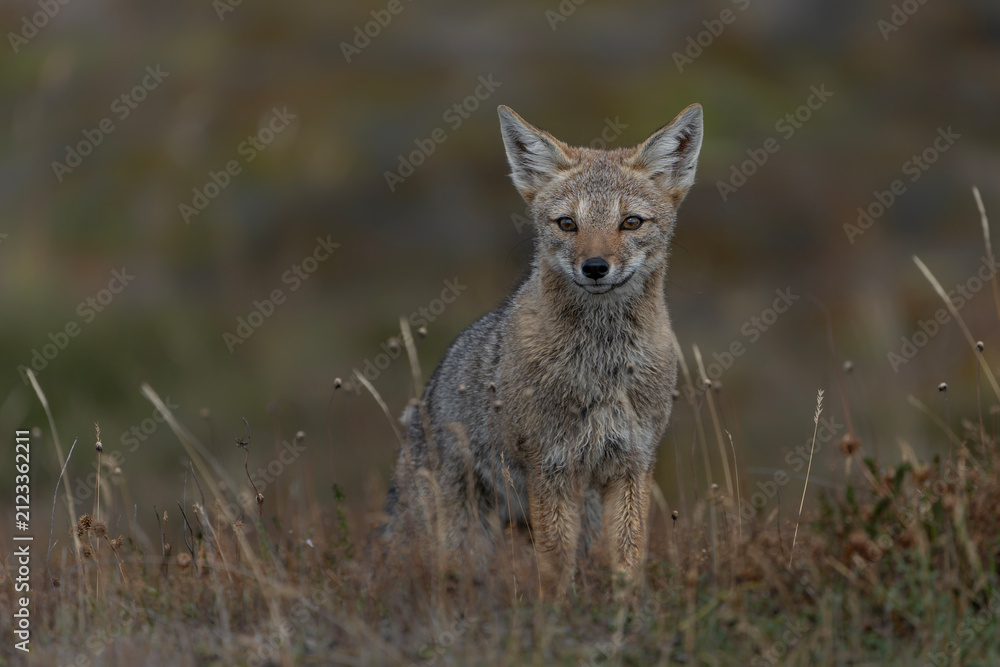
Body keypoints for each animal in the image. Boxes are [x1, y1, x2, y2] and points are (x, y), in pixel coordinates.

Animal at [383, 103, 703, 598]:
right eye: (567, 223)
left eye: (630, 222)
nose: (595, 267)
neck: (602, 364)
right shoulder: (549, 467)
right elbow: (554, 571)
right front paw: (556, 615)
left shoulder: (632, 464)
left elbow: (627, 563)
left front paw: (626, 613)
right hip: (459, 539)